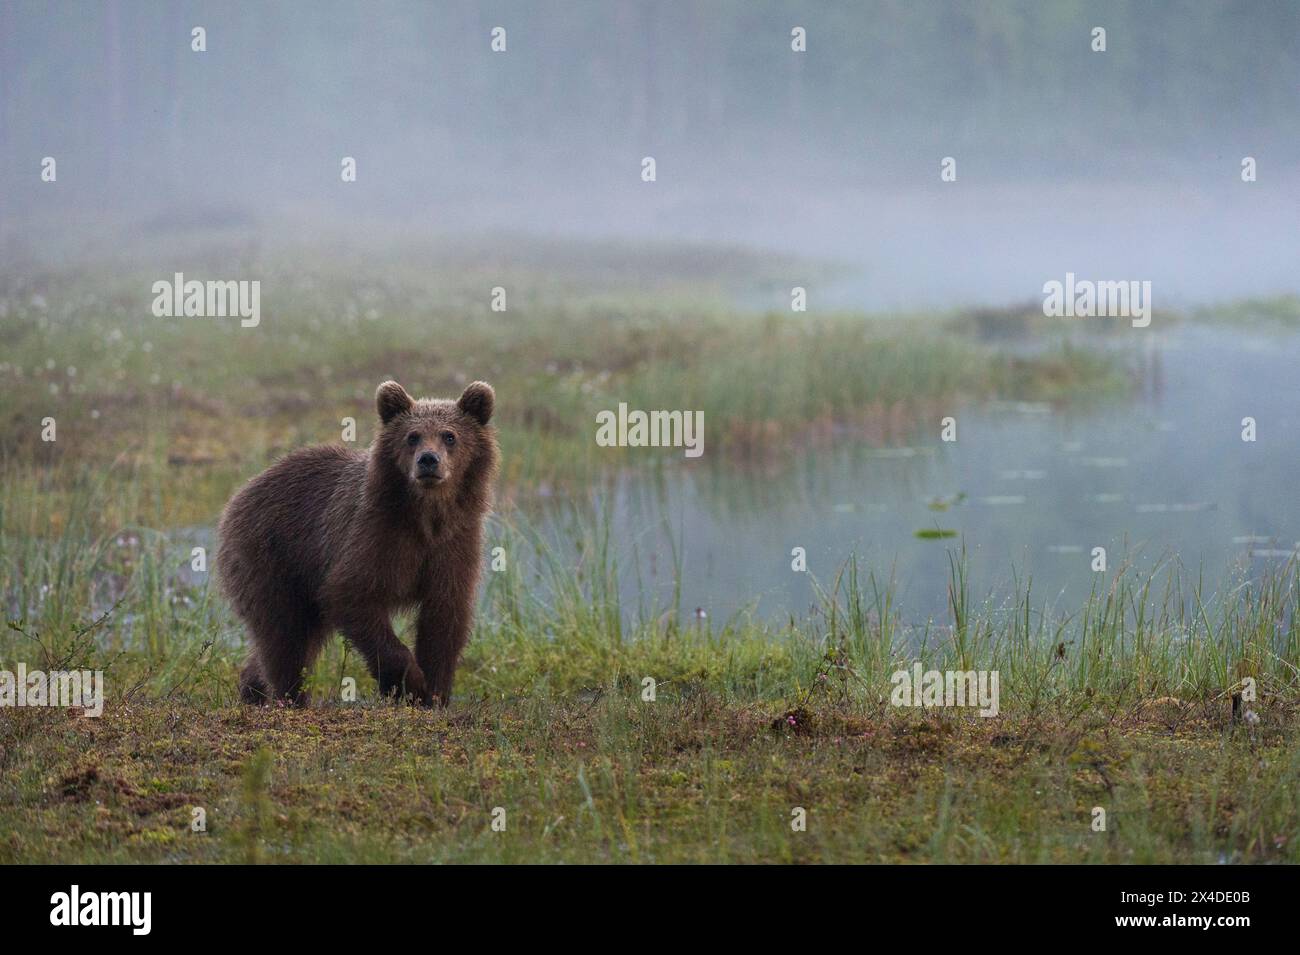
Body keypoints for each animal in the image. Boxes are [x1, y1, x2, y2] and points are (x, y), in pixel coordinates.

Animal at [218, 376, 496, 706]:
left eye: (449, 436)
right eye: (412, 436)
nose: (429, 460)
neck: (427, 516)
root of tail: (241, 492)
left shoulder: (454, 544)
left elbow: (444, 616)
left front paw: (434, 693)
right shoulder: (375, 534)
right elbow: (352, 594)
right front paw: (408, 684)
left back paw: (253, 689)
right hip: (272, 556)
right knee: (284, 636)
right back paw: (291, 698)